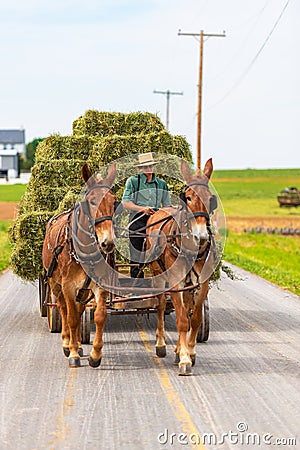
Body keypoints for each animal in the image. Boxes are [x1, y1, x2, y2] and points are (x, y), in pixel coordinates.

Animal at [42, 163, 116, 368]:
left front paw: (95, 355)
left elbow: (99, 316)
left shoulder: (99, 286)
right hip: (55, 284)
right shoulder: (67, 286)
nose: (108, 243)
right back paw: (68, 343)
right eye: (92, 201)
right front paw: (73, 353)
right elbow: (72, 318)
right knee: (63, 309)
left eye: (114, 201)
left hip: (83, 291)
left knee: (79, 308)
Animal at [146, 158, 214, 376]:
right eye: (189, 197)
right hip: (158, 275)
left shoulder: (202, 283)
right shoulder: (175, 282)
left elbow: (195, 318)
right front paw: (185, 359)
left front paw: (189, 352)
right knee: (160, 305)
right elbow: (182, 320)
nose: (201, 236)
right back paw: (161, 344)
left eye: (210, 199)